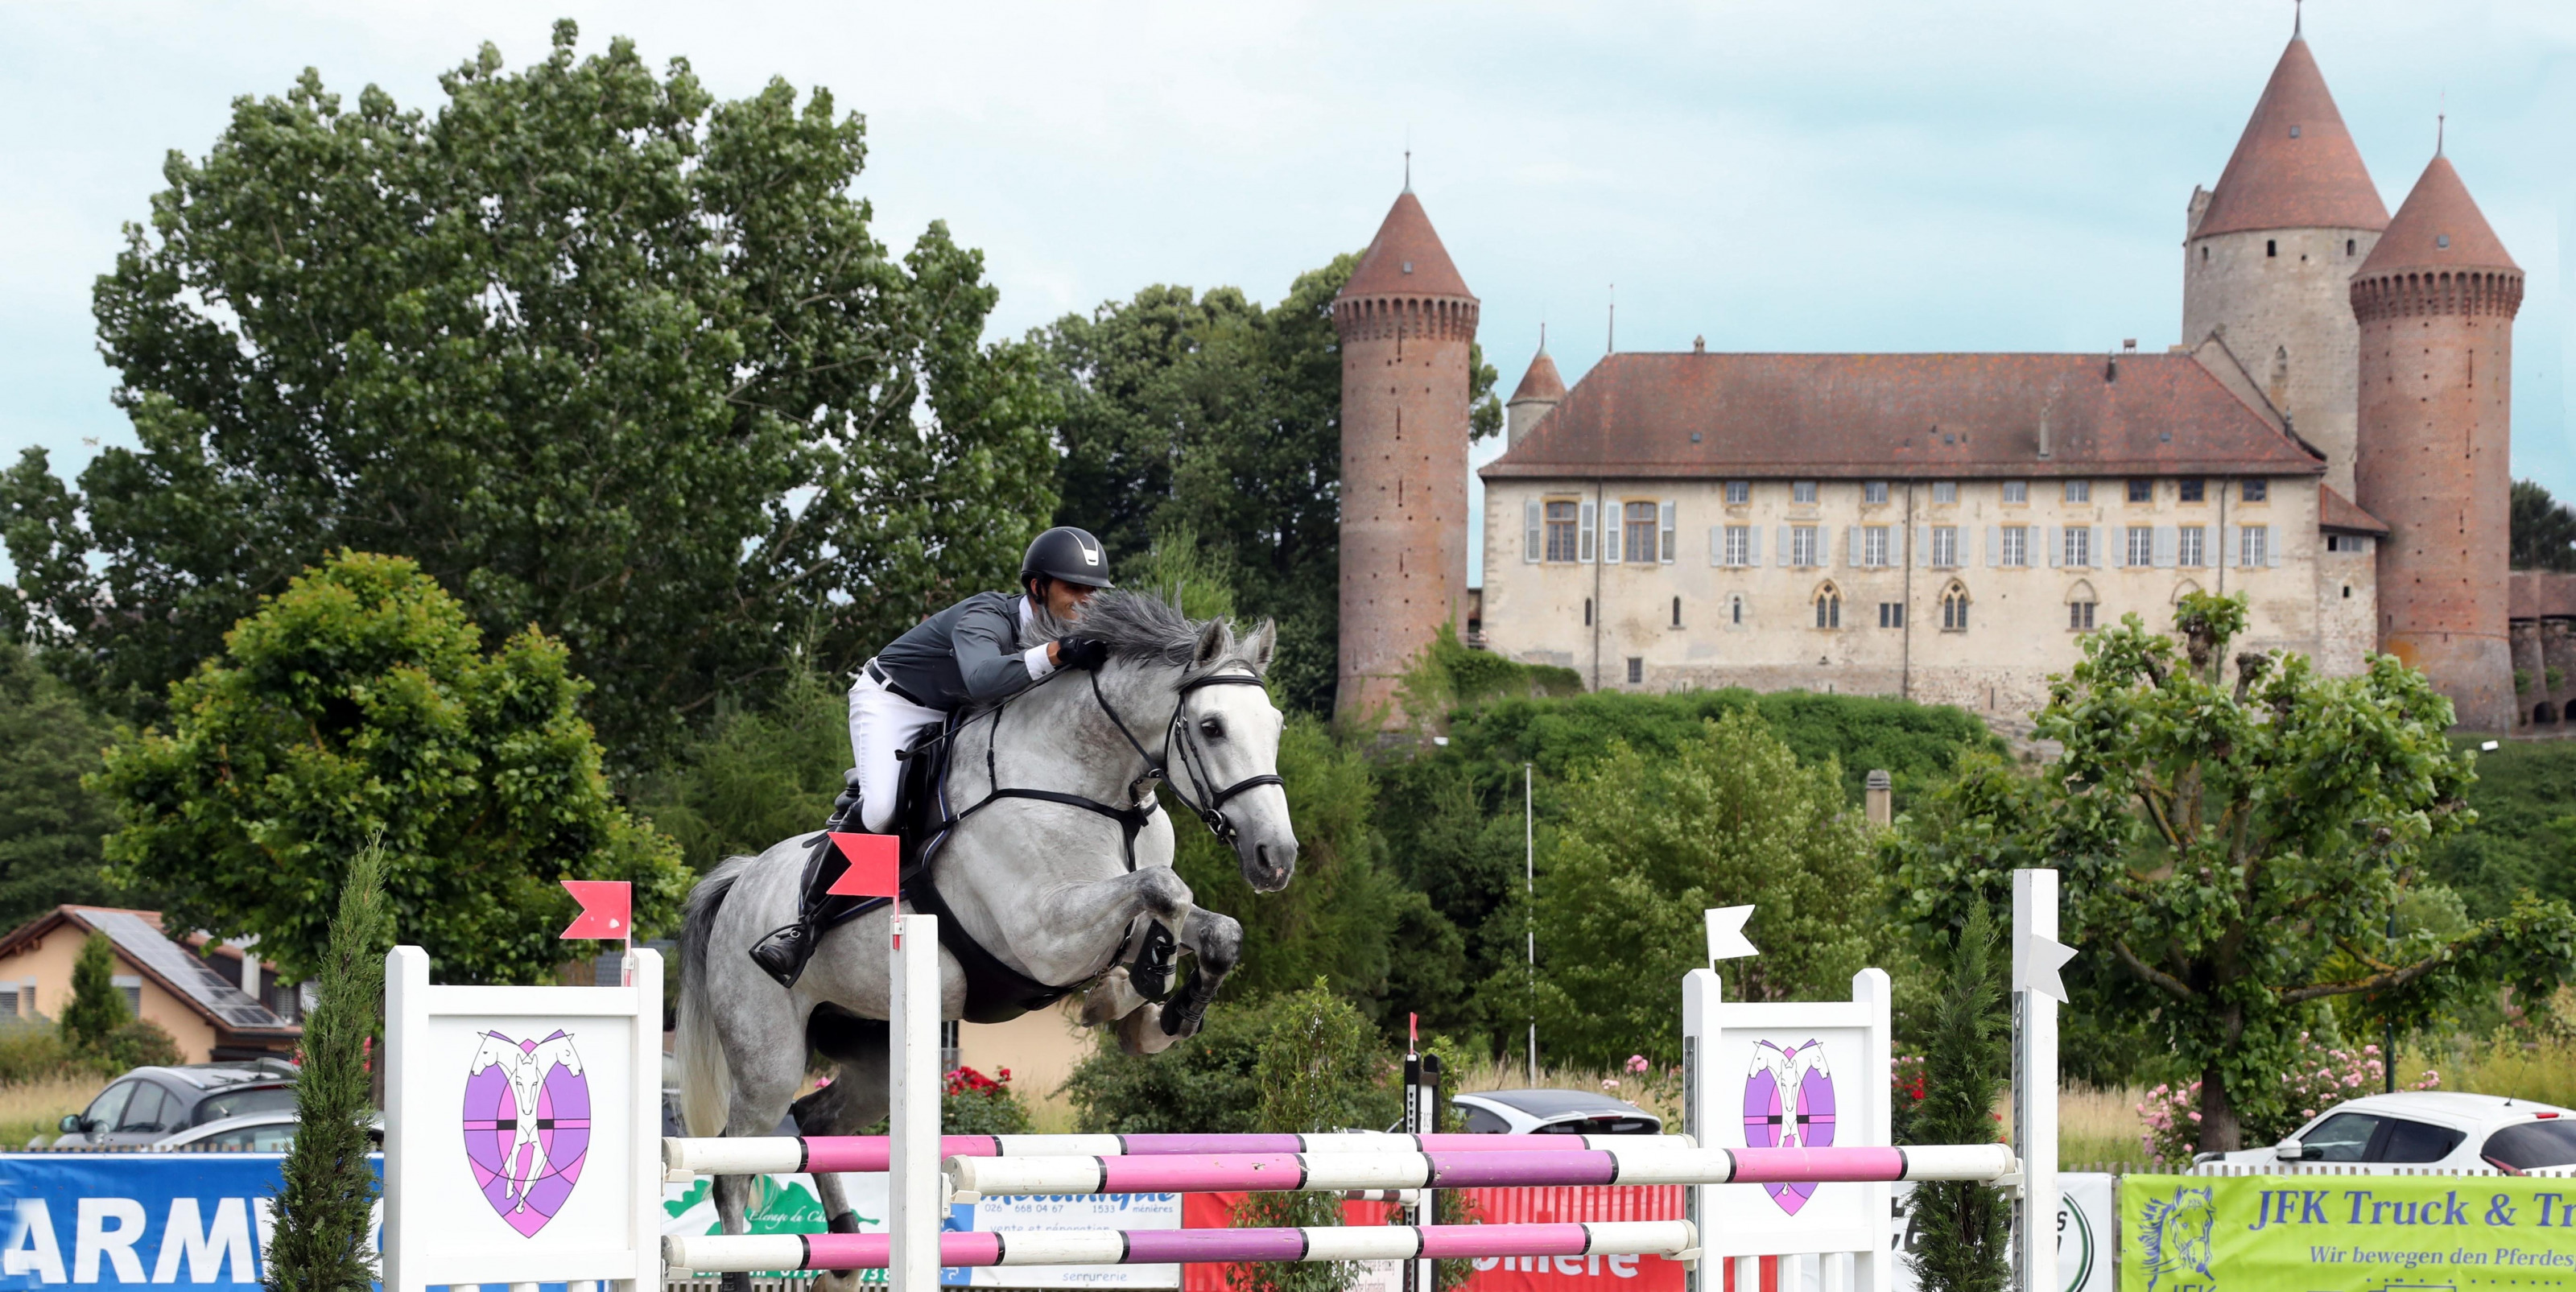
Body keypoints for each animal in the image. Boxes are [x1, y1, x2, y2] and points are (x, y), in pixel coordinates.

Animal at [675, 592, 1298, 1282]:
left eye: (1274, 726)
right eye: (1212, 726)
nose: (1276, 858)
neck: (1096, 790)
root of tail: (740, 880)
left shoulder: (1112, 916)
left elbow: (1214, 927)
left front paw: (1164, 1015)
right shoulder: (1044, 937)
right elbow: (1165, 890)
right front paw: (1137, 989)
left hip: (872, 1052)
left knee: (816, 1123)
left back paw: (843, 1257)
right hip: (767, 1062)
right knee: (734, 1171)